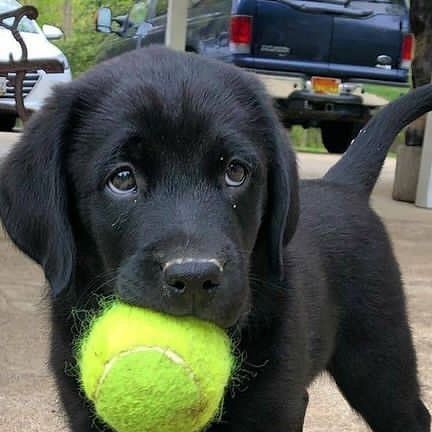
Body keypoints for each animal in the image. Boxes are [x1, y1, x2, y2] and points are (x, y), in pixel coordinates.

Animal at [0, 45, 432, 430]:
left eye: (235, 172)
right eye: (122, 178)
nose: (194, 276)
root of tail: (344, 184)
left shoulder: (275, 404)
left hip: (378, 361)